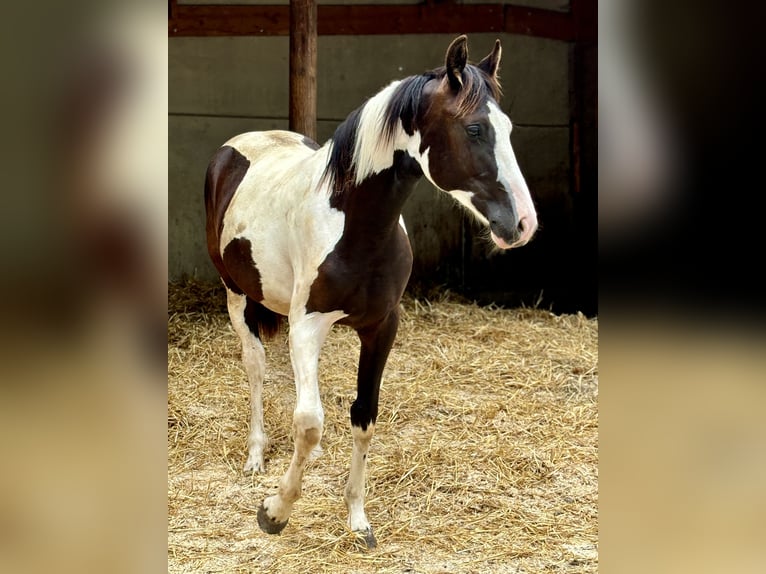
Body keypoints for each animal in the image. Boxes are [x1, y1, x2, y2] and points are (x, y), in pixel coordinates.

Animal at [204, 36, 540, 548]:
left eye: (507, 128)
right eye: (475, 128)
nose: (523, 224)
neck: (353, 223)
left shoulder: (382, 327)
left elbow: (363, 415)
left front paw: (357, 518)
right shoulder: (306, 327)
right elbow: (309, 423)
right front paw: (275, 511)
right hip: (237, 298)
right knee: (257, 369)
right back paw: (256, 456)